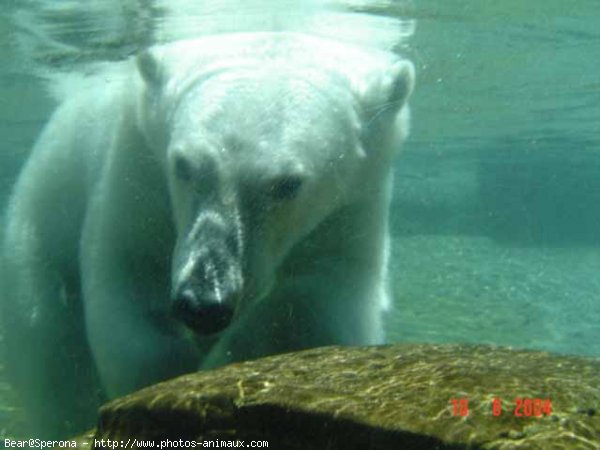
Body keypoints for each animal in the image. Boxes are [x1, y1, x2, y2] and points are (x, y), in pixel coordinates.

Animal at [0, 32, 412, 440]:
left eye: (287, 184)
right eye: (184, 165)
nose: (203, 303)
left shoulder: (352, 208)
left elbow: (306, 309)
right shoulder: (138, 171)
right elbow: (133, 275)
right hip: (42, 222)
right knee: (50, 350)